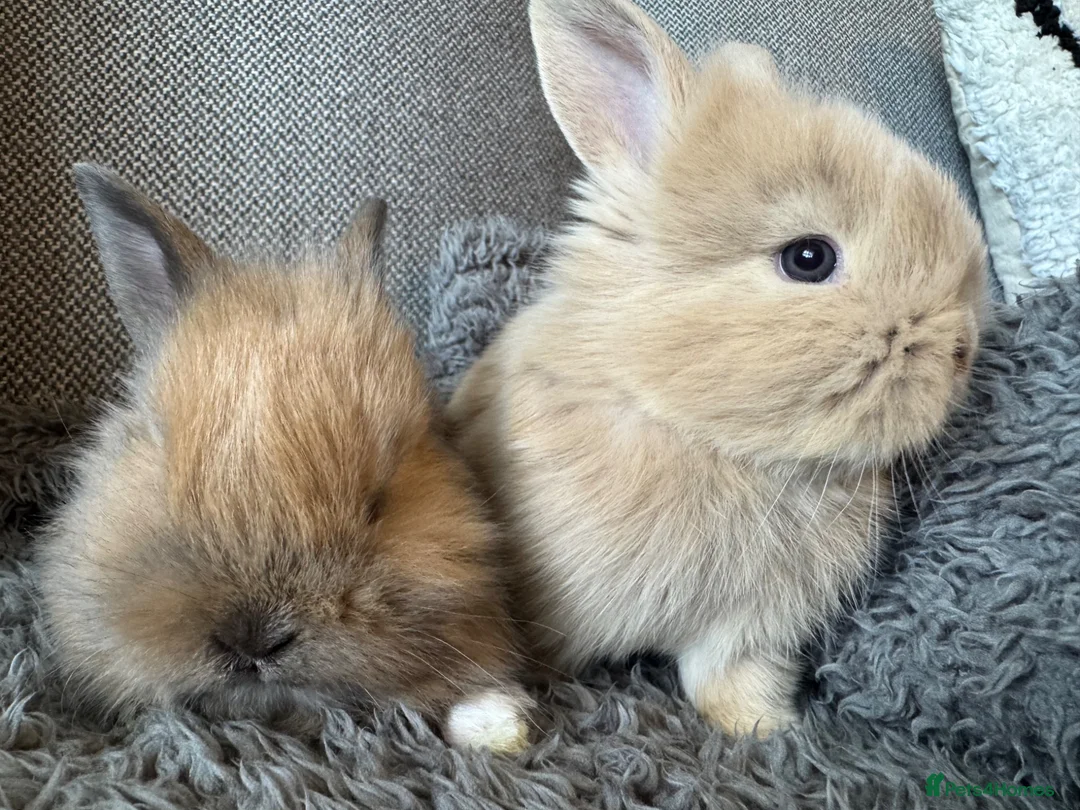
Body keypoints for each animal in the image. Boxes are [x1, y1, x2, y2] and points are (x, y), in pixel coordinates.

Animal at [446, 0, 988, 737]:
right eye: (809, 258)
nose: (964, 348)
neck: (706, 440)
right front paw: (503, 721)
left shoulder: (746, 629)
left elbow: (727, 684)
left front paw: (768, 729)